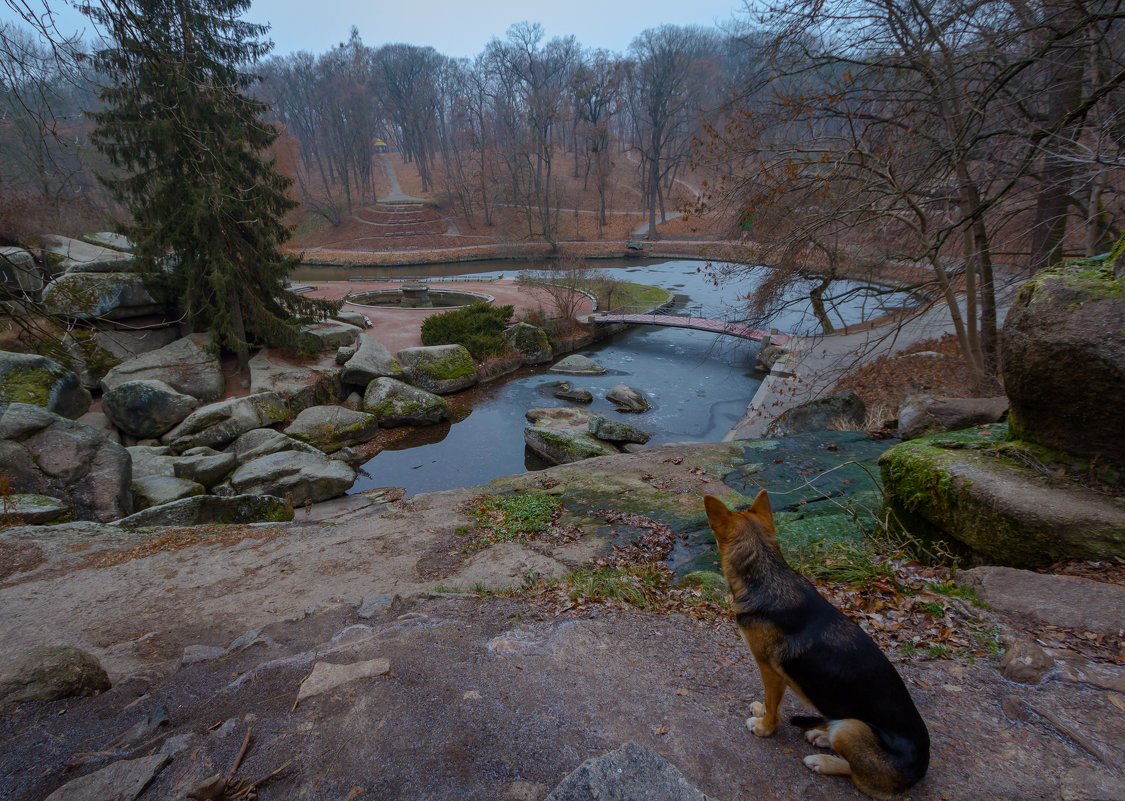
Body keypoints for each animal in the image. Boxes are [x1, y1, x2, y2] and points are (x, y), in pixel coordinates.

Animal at [702, 490, 931, 796]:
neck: (768, 576)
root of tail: (920, 769)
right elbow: (772, 701)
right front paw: (762, 711)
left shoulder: (769, 669)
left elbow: (774, 705)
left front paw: (764, 727)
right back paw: (822, 737)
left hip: (851, 729)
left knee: (858, 776)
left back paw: (822, 760)